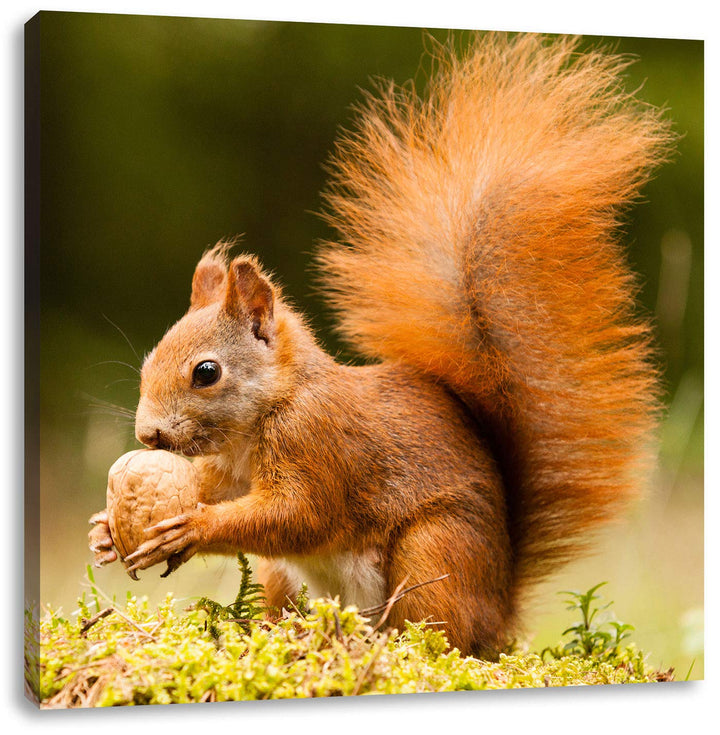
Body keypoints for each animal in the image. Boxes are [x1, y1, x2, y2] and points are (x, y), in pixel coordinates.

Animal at [89, 32, 674, 656]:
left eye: (206, 372)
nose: (148, 435)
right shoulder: (224, 471)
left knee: (435, 631)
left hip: (435, 551)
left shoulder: (318, 444)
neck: (264, 415)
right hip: (286, 579)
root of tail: (499, 611)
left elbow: (298, 516)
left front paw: (192, 527)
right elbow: (216, 491)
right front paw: (105, 530)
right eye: (149, 361)